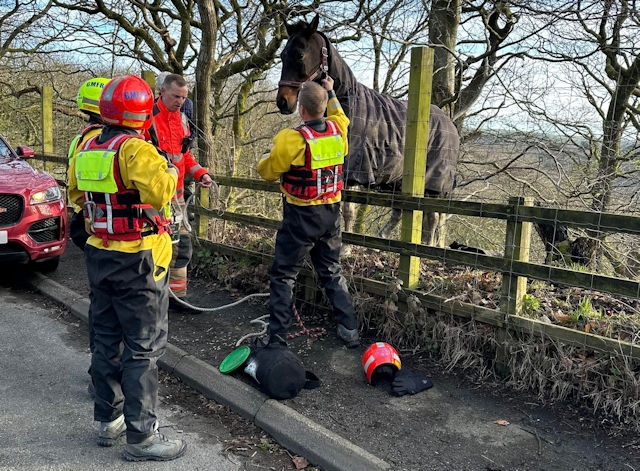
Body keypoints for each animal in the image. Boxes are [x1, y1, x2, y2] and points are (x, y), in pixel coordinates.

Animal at [276, 14, 460, 247]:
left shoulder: (352, 171)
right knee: (401, 212)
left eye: (300, 54)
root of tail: (450, 125)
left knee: (432, 218)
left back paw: (425, 246)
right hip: (399, 183)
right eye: (282, 55)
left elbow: (348, 211)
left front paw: (345, 247)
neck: (347, 100)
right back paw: (382, 239)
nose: (283, 102)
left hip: (433, 184)